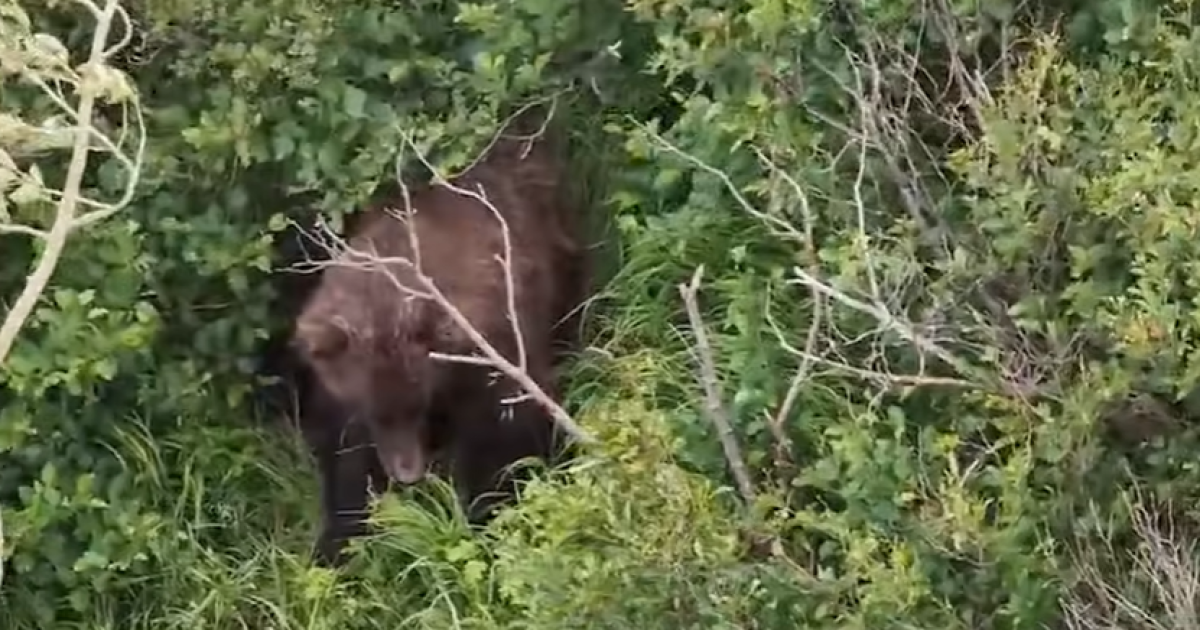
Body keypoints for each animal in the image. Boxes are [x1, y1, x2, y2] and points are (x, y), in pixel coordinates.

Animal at [289, 115, 588, 567]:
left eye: (419, 405)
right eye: (375, 412)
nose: (407, 474)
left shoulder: (490, 350)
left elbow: (507, 435)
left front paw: (487, 511)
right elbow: (344, 462)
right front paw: (336, 543)